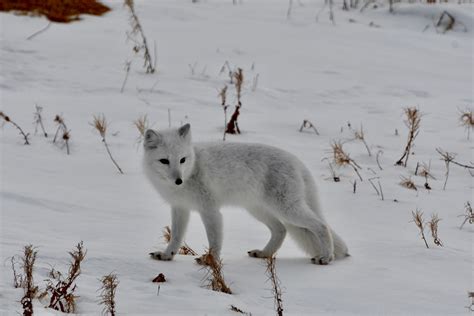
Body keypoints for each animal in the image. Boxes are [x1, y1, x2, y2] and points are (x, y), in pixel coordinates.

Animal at [143, 123, 346, 264]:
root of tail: (297, 161)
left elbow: (214, 241)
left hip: (288, 210)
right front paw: (167, 255)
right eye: (164, 161)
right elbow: (176, 237)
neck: (193, 169)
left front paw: (211, 262)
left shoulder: (210, 210)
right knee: (281, 229)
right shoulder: (180, 208)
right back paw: (264, 253)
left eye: (182, 160)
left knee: (321, 226)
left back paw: (326, 257)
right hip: (258, 210)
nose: (178, 180)